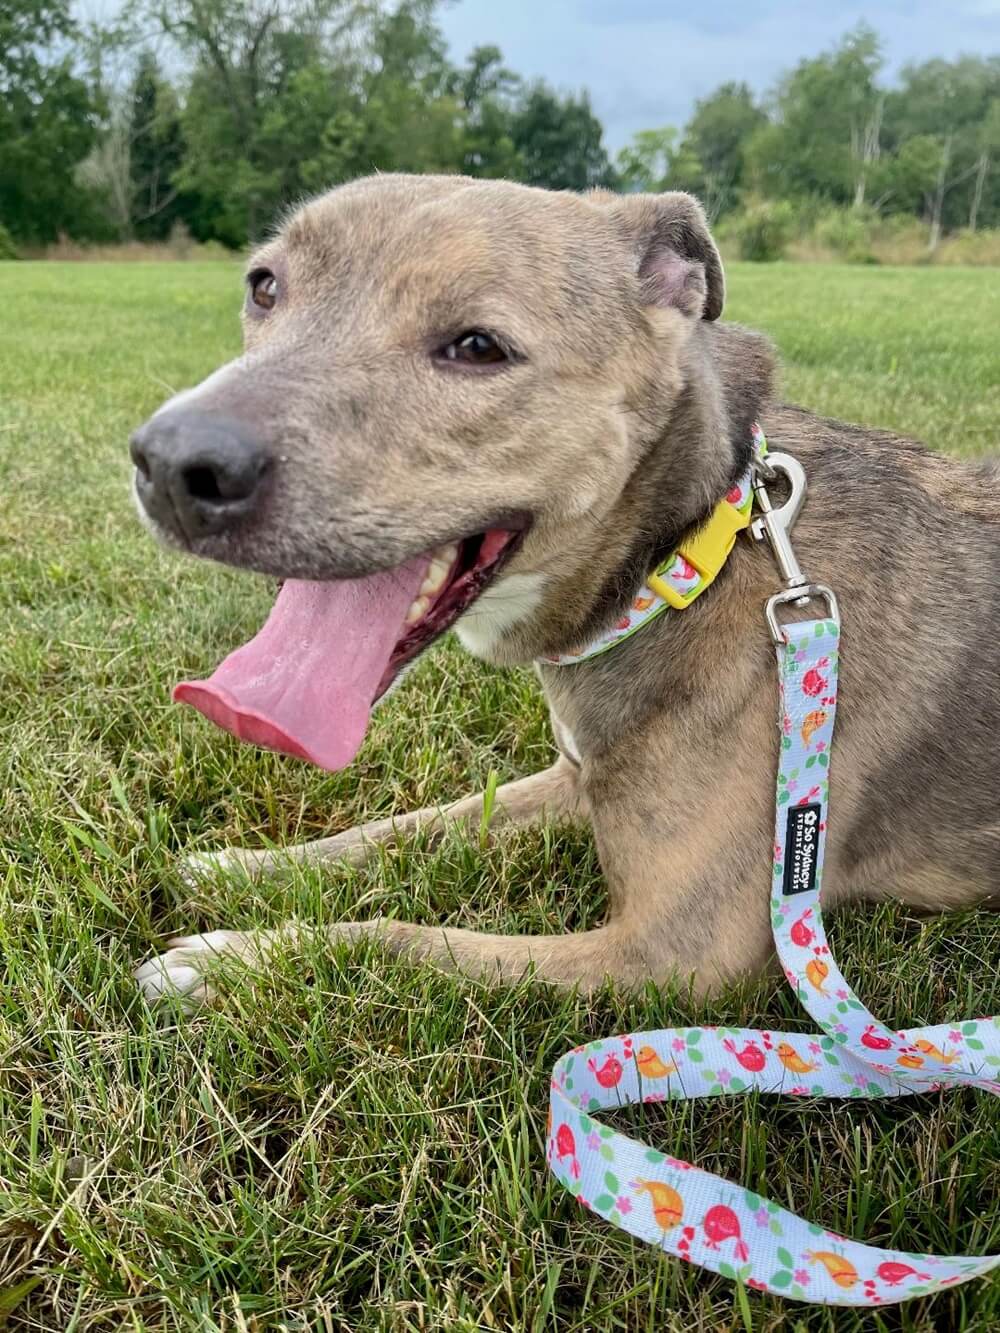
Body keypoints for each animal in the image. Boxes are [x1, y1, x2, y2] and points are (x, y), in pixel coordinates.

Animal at [131, 179, 1000, 1007]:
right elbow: (405, 826)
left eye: (478, 346)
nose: (171, 465)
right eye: (264, 286)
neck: (684, 557)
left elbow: (404, 940)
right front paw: (249, 865)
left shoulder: (676, 951)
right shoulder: (571, 777)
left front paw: (236, 959)